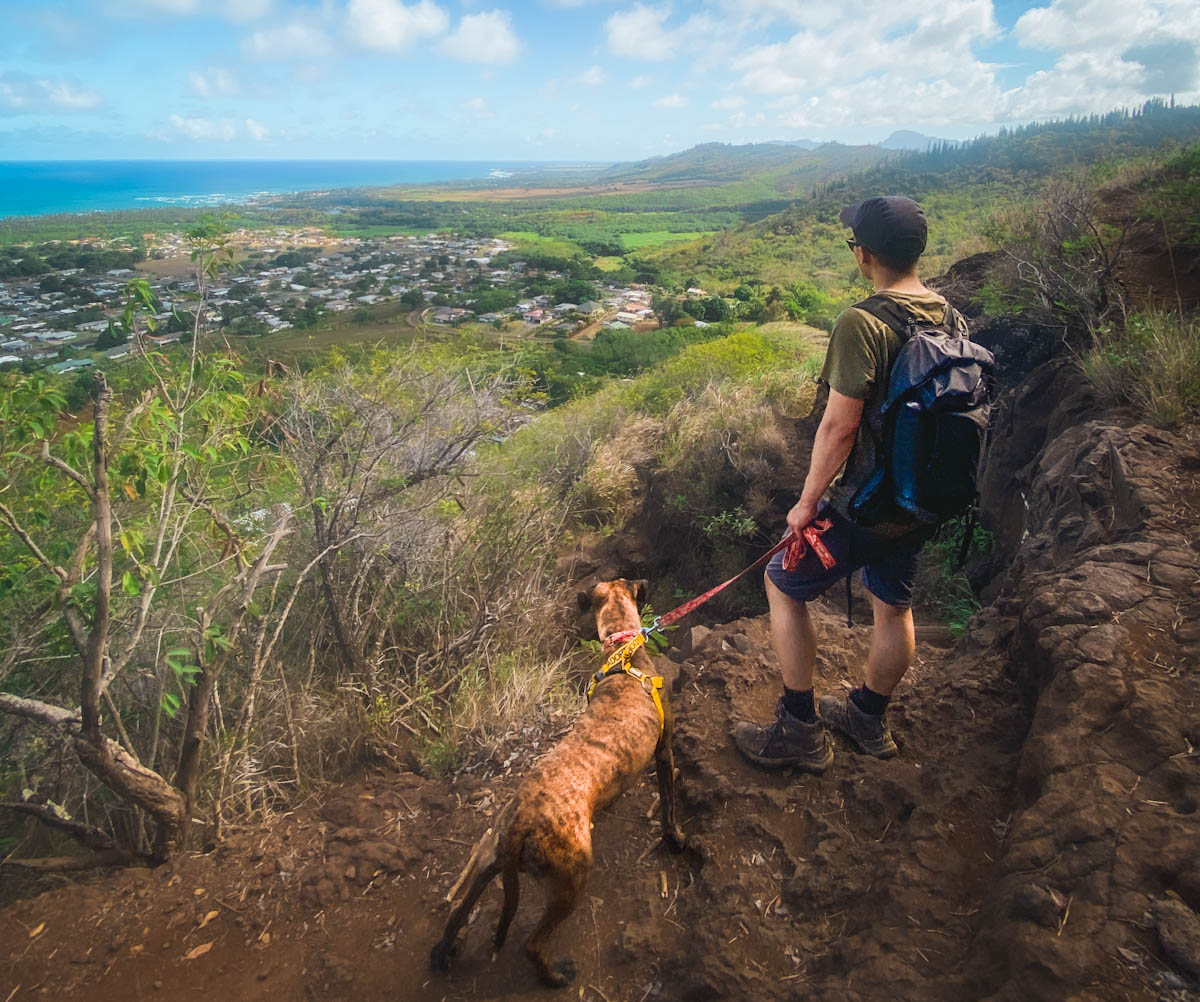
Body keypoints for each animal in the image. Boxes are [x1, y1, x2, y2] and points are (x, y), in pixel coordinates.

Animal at [429, 580, 686, 988]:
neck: (621, 653)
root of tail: (520, 822)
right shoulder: (664, 751)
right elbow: (669, 805)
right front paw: (675, 839)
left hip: (492, 855)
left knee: (460, 907)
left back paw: (443, 951)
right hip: (573, 877)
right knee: (532, 945)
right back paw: (554, 974)